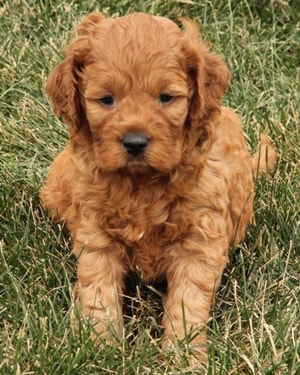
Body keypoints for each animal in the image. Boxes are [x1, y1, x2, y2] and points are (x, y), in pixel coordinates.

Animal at [41, 12, 276, 364]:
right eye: (106, 100)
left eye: (166, 98)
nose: (135, 142)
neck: (143, 184)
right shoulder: (96, 235)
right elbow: (99, 294)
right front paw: (100, 349)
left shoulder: (199, 242)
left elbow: (187, 303)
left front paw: (185, 357)